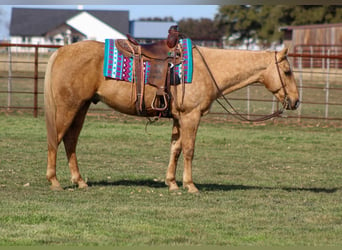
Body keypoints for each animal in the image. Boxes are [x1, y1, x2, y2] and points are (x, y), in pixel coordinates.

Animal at [44, 41, 300, 193]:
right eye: (287, 71)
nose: (296, 101)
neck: (206, 69)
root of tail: (61, 51)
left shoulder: (179, 118)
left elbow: (175, 148)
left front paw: (172, 183)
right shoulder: (191, 116)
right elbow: (188, 150)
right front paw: (190, 185)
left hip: (81, 107)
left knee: (70, 141)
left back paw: (79, 181)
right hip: (68, 107)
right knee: (55, 140)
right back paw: (54, 181)